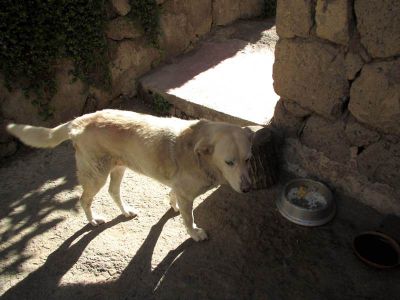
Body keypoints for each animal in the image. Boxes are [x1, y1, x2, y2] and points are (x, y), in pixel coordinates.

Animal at [7, 110, 253, 241]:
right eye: (229, 162)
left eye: (248, 159)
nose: (247, 189)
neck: (201, 157)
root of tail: (80, 120)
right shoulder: (186, 195)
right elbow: (189, 218)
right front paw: (194, 233)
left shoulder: (179, 189)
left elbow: (173, 196)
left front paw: (172, 207)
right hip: (96, 176)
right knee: (84, 199)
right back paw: (93, 220)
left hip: (118, 169)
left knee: (113, 192)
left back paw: (125, 212)